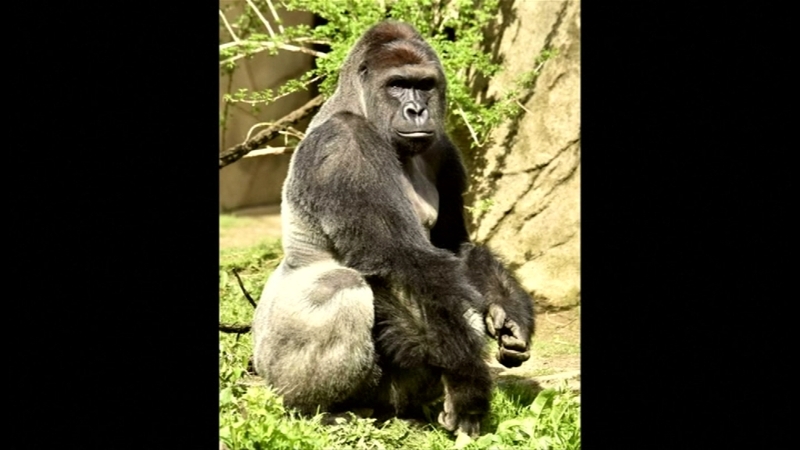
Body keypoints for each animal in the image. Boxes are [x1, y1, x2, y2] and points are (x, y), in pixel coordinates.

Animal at [252, 20, 534, 438]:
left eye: (424, 85)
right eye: (397, 84)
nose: (416, 110)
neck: (360, 106)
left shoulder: (442, 148)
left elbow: (454, 247)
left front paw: (508, 310)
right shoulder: (345, 145)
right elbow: (405, 260)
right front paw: (468, 383)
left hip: (390, 398)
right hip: (270, 365)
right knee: (339, 286)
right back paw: (315, 410)